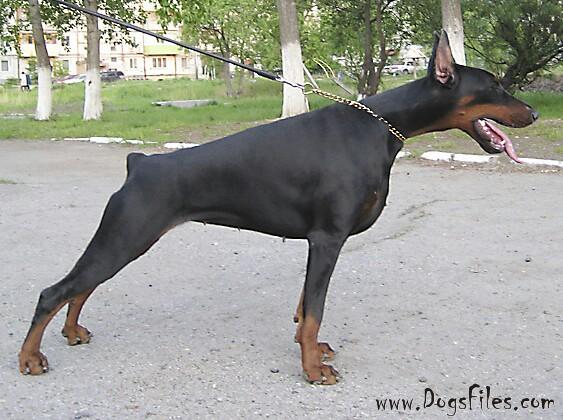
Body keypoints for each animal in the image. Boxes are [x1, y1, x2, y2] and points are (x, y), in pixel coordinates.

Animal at [19, 30, 537, 384]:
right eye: (495, 87)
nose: (533, 113)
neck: (382, 126)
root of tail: (140, 163)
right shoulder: (327, 238)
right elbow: (315, 309)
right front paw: (312, 370)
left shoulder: (320, 242)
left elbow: (305, 307)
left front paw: (312, 350)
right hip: (128, 233)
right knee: (54, 292)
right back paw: (30, 358)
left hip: (127, 238)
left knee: (81, 288)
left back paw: (73, 332)